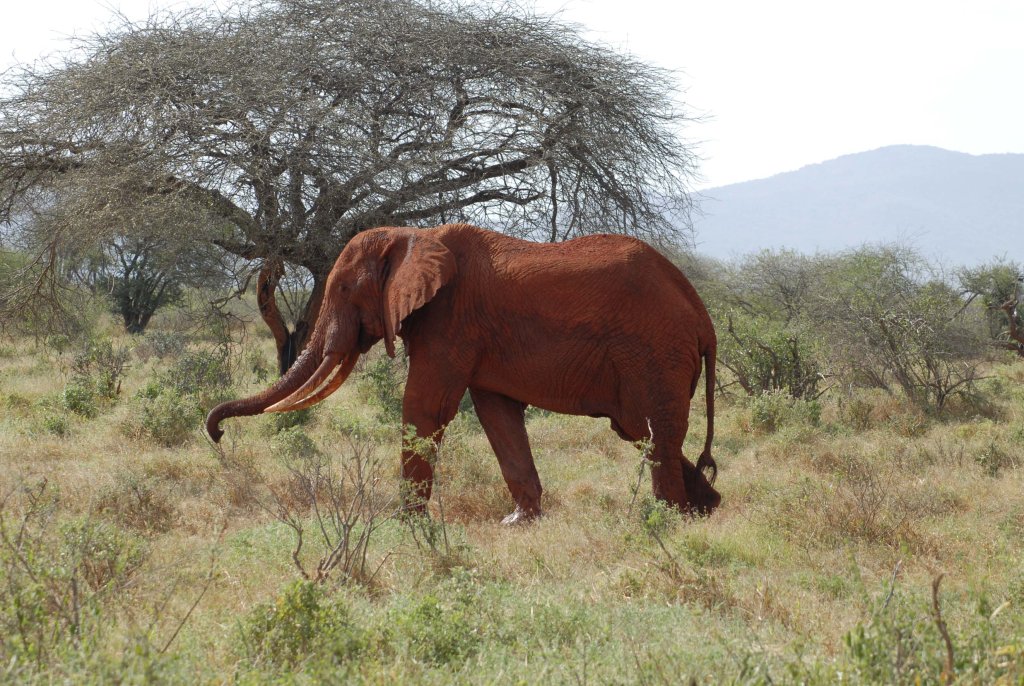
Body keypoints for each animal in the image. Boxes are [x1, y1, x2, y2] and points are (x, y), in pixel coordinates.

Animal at [205, 223, 720, 524]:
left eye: (346, 289)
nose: (216, 434)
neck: (413, 234)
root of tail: (702, 316)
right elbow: (497, 415)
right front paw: (519, 524)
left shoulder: (449, 320)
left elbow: (425, 407)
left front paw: (407, 526)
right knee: (641, 431)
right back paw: (706, 508)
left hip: (654, 353)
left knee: (654, 431)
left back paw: (670, 519)